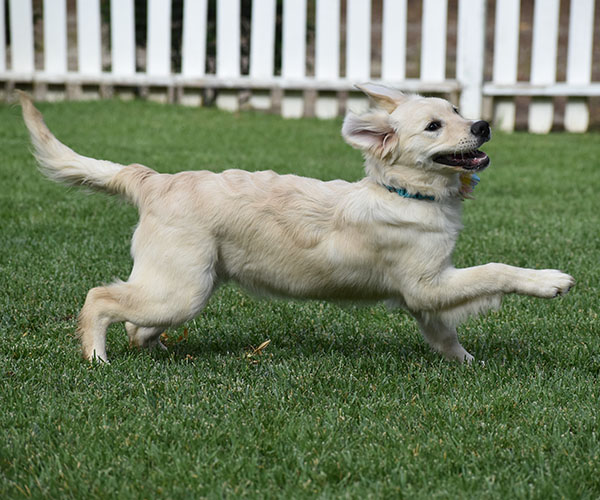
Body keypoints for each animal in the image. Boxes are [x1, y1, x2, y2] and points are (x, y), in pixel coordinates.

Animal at [18, 85, 574, 363]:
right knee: (99, 297)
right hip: (181, 289)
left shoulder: (425, 296)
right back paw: (96, 358)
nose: (482, 126)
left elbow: (444, 334)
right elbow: (497, 271)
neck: (405, 193)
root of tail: (154, 180)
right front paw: (549, 281)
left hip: (184, 285)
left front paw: (466, 364)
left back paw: (148, 345)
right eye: (435, 126)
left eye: (457, 109)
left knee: (135, 320)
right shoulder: (427, 283)